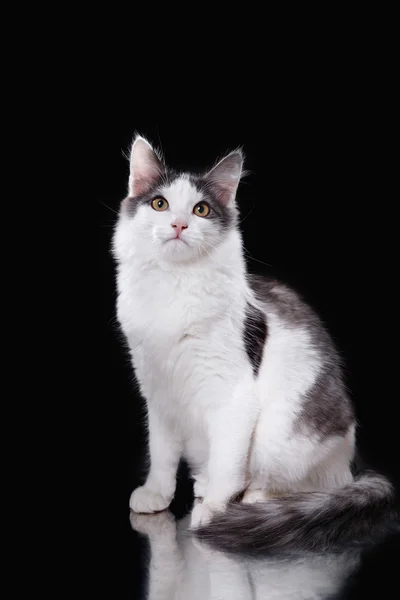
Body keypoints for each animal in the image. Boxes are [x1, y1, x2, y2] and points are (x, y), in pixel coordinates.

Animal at [112, 135, 396, 552]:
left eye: (200, 210)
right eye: (160, 204)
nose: (179, 224)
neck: (173, 284)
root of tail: (351, 464)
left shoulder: (233, 396)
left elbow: (228, 461)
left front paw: (214, 511)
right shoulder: (158, 391)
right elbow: (161, 453)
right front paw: (157, 494)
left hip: (279, 440)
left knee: (298, 486)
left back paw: (251, 500)